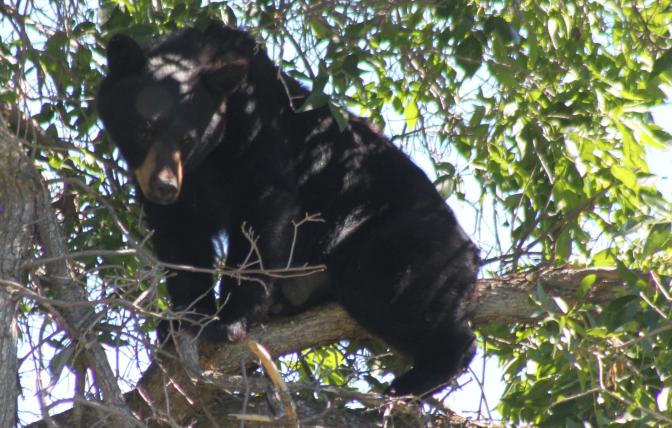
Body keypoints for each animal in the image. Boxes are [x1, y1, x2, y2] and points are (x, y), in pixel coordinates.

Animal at [96, 21, 479, 397]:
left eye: (188, 138)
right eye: (144, 130)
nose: (165, 186)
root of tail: (471, 252)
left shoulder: (258, 132)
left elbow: (263, 211)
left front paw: (229, 320)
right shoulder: (167, 185)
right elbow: (180, 238)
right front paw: (183, 319)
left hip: (394, 242)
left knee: (399, 296)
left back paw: (414, 380)